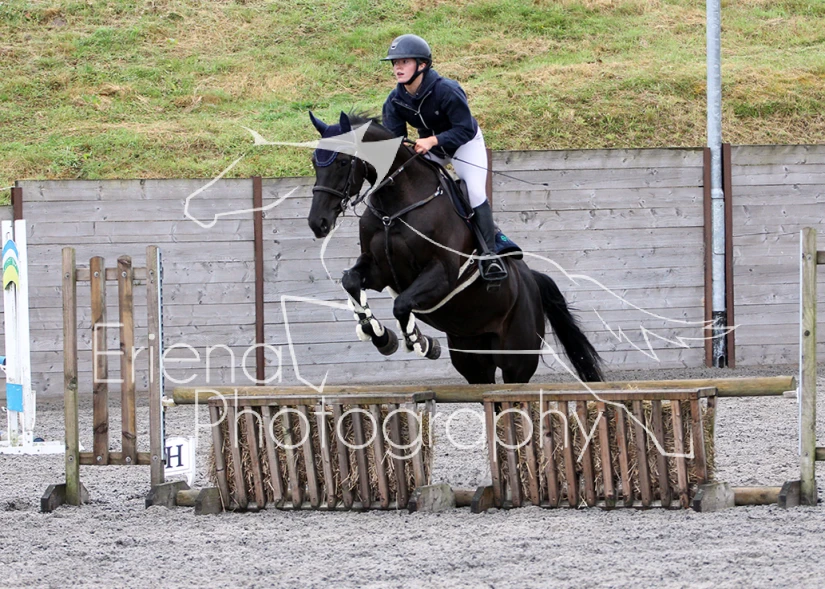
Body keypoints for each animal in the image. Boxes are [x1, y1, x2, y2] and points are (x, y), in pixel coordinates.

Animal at [307, 111, 603, 384]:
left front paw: (419, 342)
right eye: (314, 161)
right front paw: (380, 335)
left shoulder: (442, 274)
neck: (396, 206)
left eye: (343, 161)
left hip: (516, 359)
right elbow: (351, 282)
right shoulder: (380, 271)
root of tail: (531, 280)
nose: (317, 223)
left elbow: (401, 305)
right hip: (472, 357)